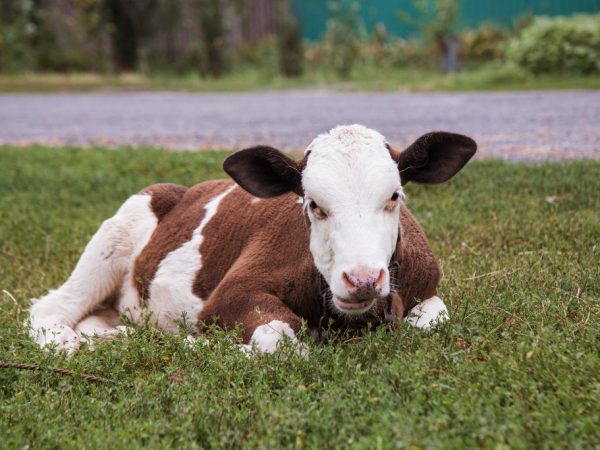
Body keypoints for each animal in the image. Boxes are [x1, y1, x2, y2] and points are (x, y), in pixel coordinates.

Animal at [28, 125, 476, 354]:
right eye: (313, 204)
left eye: (394, 196)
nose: (362, 279)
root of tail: (178, 191)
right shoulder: (229, 295)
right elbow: (278, 338)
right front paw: (202, 344)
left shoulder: (425, 284)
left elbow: (432, 319)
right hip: (112, 236)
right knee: (49, 308)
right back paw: (69, 342)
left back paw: (114, 334)